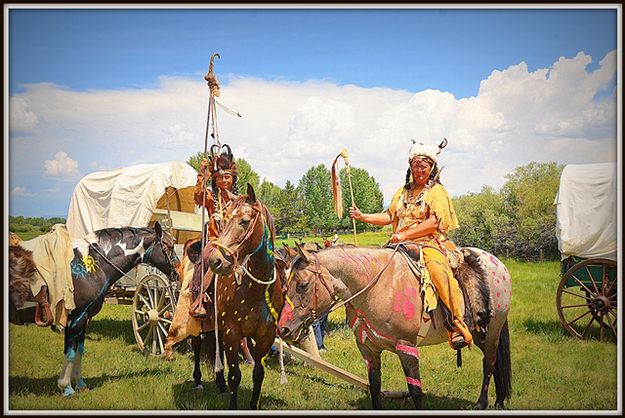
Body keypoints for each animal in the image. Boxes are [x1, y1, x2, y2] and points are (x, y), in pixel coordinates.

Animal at [8, 222, 179, 396]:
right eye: (169, 245)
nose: (178, 273)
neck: (93, 265)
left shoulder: (84, 318)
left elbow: (79, 351)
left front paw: (80, 384)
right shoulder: (77, 318)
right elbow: (71, 352)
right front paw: (66, 387)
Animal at [278, 243, 512, 410]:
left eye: (303, 285)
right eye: (284, 282)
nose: (283, 330)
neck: (376, 288)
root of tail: (498, 264)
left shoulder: (406, 347)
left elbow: (416, 391)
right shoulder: (368, 349)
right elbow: (374, 387)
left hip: (493, 330)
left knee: (489, 362)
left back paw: (483, 403)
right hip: (479, 332)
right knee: (492, 362)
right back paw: (498, 401)